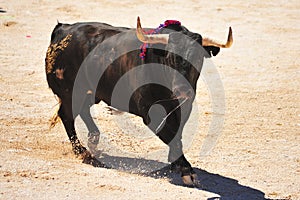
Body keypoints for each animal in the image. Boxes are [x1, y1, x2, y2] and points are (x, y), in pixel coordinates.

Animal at [45, 17, 232, 184]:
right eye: (170, 57)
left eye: (198, 57)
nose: (182, 90)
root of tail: (63, 29)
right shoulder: (150, 115)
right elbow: (170, 134)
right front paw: (187, 172)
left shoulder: (185, 106)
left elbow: (177, 132)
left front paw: (175, 162)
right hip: (71, 93)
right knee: (67, 116)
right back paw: (81, 151)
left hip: (89, 93)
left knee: (82, 110)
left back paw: (93, 139)